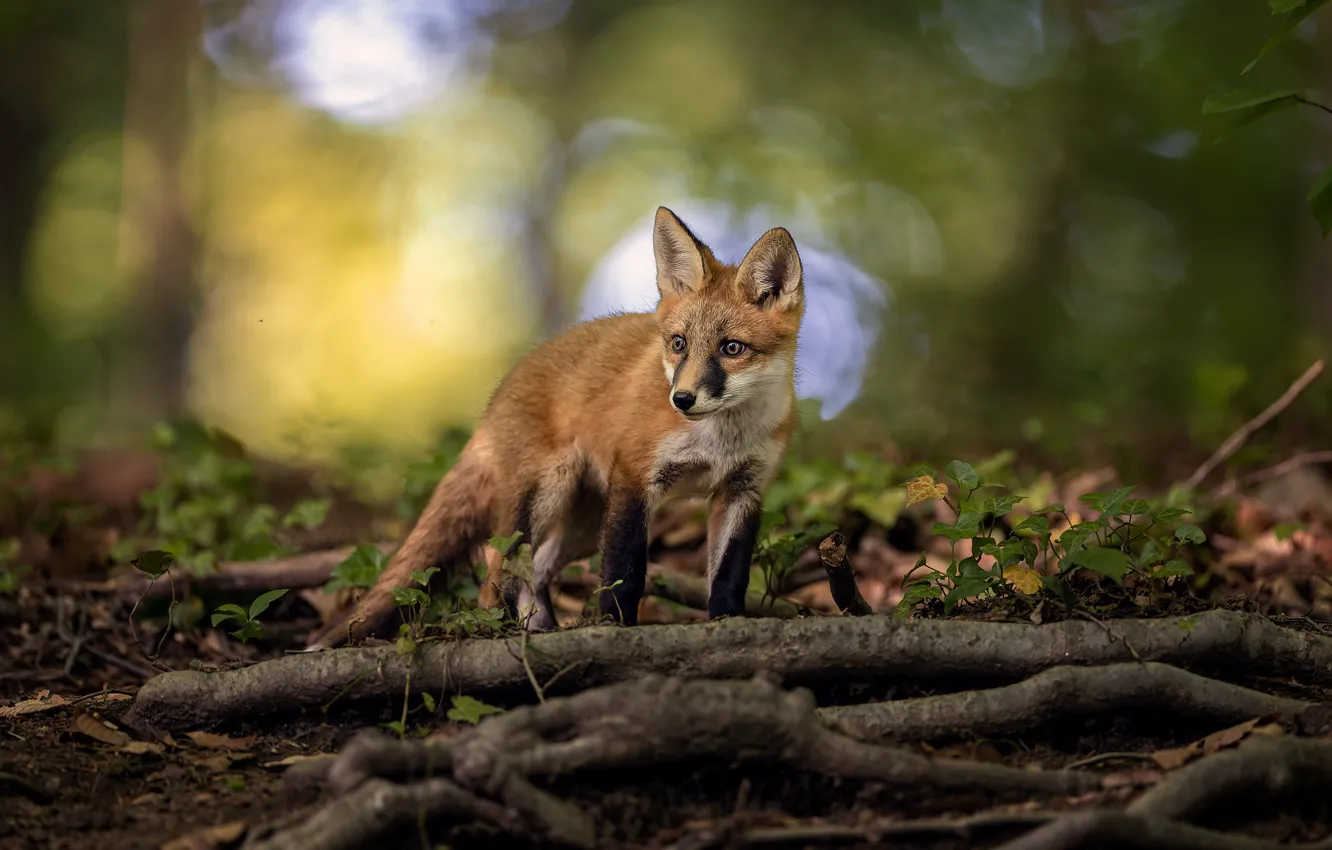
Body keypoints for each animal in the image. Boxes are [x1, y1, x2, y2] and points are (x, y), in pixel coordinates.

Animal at [306, 206, 805, 648]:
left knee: (537, 569)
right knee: (496, 568)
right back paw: (501, 631)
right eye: (679, 343)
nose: (681, 399)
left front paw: (727, 623)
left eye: (732, 348)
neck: (720, 439)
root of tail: (503, 386)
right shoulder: (635, 477)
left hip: (582, 523)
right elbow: (624, 572)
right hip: (548, 491)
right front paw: (615, 628)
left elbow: (730, 575)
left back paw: (539, 628)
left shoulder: (743, 489)